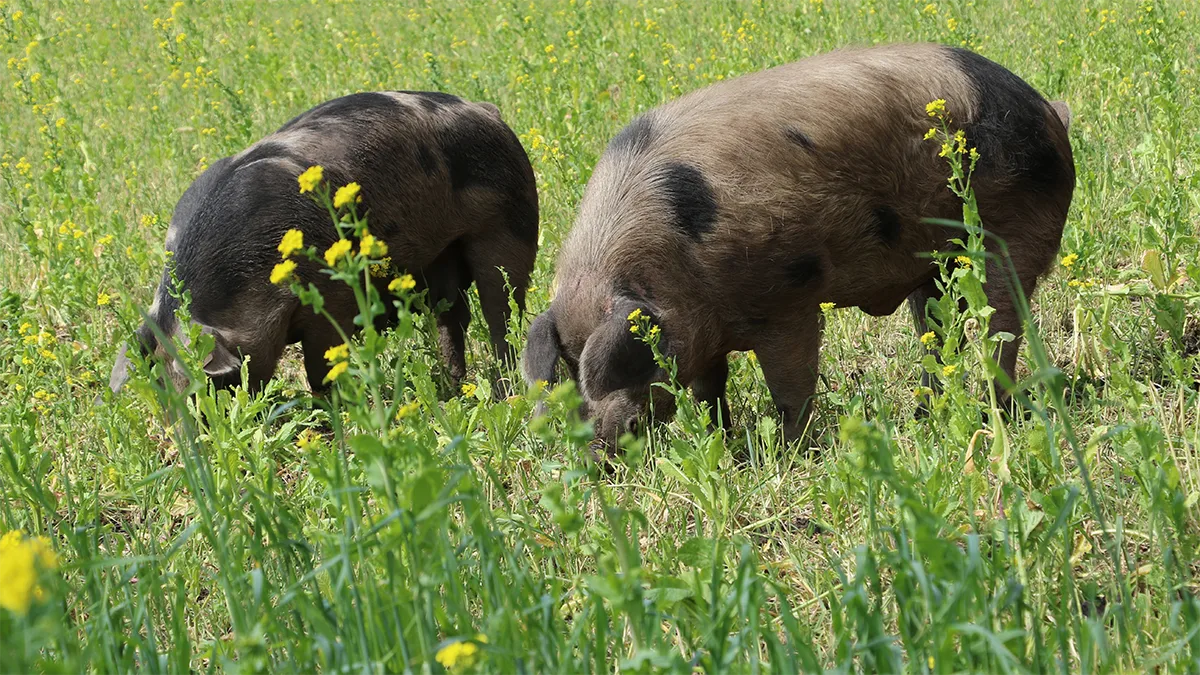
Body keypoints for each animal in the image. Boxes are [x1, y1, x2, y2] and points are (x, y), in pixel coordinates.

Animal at [110, 90, 542, 393]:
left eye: (214, 386)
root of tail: (488, 111)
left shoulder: (333, 301)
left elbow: (321, 369)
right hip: (441, 256)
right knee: (451, 315)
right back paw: (452, 387)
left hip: (511, 228)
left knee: (502, 310)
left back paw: (503, 390)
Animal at [520, 45, 1075, 446]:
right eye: (566, 364)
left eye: (610, 366)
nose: (594, 453)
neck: (673, 258)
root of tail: (1048, 111)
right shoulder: (701, 329)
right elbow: (707, 390)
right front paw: (722, 442)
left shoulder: (790, 294)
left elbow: (790, 385)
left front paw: (789, 451)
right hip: (932, 267)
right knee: (937, 334)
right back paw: (927, 411)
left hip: (1012, 236)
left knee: (1001, 327)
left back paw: (993, 411)